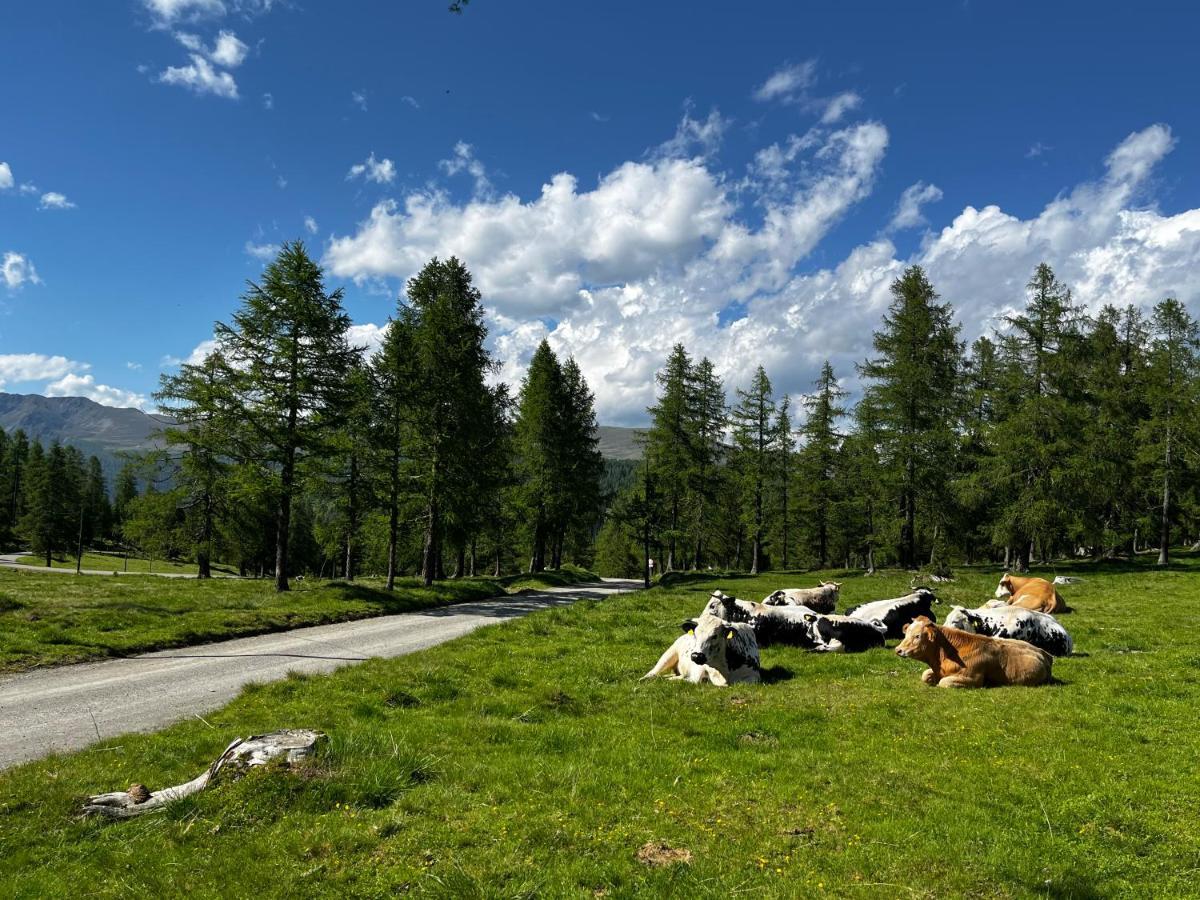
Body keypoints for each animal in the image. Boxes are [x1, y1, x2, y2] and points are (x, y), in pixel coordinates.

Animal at [897, 619, 1056, 691]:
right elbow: (925, 675)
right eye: (906, 634)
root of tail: (1044, 654)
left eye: (917, 636)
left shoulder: (974, 679)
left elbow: (944, 682)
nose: (898, 649)